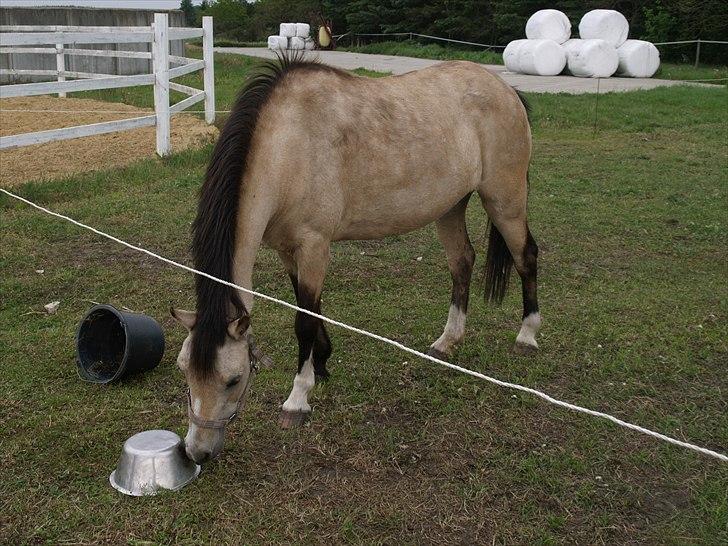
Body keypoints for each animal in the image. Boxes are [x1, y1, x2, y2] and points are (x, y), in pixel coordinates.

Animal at [171, 55, 540, 464]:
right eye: (184, 370)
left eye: (232, 380)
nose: (197, 451)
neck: (290, 145)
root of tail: (506, 89)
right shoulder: (289, 251)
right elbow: (309, 308)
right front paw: (322, 362)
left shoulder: (314, 245)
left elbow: (304, 320)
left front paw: (297, 399)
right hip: (450, 207)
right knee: (462, 262)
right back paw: (447, 342)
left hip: (505, 200)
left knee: (526, 257)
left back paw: (527, 335)